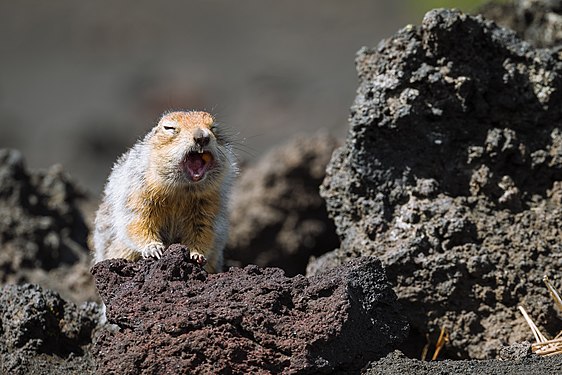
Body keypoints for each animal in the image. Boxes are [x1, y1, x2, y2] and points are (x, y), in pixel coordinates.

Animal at [92, 110, 236, 272]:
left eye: (214, 127)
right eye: (168, 128)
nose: (202, 137)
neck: (181, 191)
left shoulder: (210, 203)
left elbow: (204, 230)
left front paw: (196, 254)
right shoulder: (136, 192)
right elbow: (137, 222)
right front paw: (153, 248)